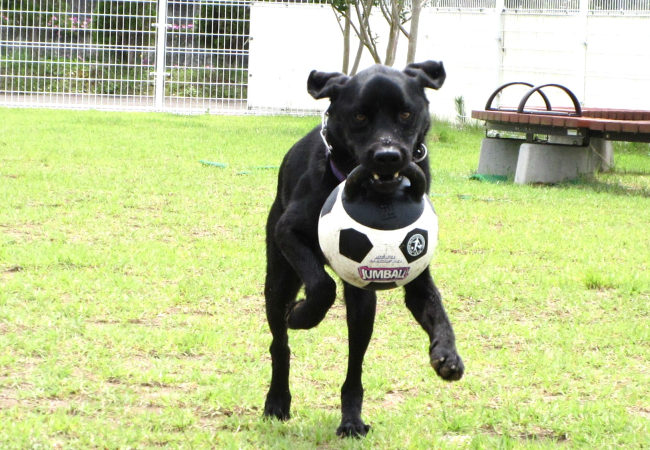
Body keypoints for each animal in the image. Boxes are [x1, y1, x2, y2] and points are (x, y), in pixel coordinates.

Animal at [263, 61, 464, 437]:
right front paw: (302, 315)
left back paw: (351, 419)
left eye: (405, 114)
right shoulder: (289, 233)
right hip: (277, 280)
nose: (387, 156)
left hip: (363, 302)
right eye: (358, 116)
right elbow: (322, 286)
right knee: (279, 344)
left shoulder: (417, 273)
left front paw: (447, 355)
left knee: (354, 366)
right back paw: (278, 399)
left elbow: (437, 308)